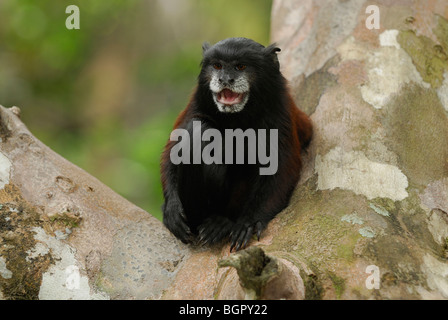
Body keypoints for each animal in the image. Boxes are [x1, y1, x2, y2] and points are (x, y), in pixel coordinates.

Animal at [160, 37, 312, 251]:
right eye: (217, 66)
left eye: (240, 67)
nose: (225, 80)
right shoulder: (196, 104)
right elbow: (170, 154)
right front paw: (171, 208)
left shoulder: (279, 111)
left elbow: (282, 170)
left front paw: (248, 221)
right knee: (199, 130)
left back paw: (222, 222)